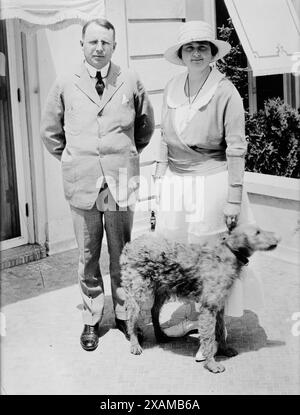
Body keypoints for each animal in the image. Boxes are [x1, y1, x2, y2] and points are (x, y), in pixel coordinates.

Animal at [119, 224, 278, 374]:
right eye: (257, 232)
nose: (278, 239)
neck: (227, 255)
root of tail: (131, 245)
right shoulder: (209, 307)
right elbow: (209, 337)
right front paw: (211, 363)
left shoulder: (218, 306)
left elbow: (220, 332)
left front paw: (224, 350)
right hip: (138, 292)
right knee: (131, 319)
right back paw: (135, 344)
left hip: (161, 290)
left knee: (154, 311)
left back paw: (160, 335)